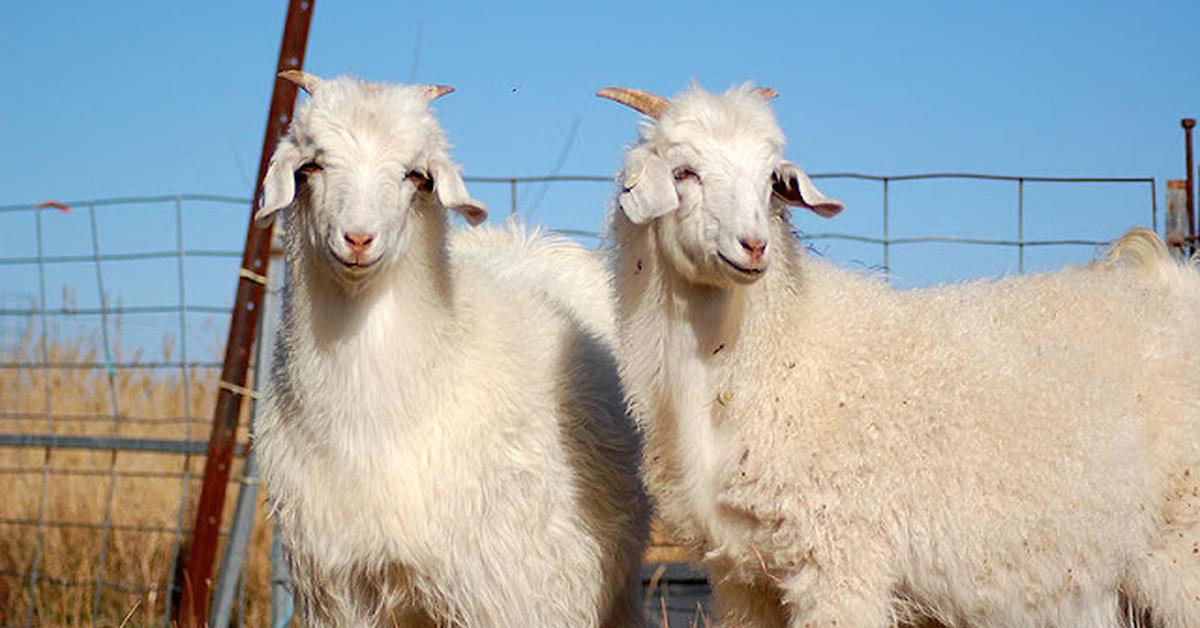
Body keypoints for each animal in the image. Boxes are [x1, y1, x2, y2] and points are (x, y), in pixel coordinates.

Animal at [253, 71, 648, 624]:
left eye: (415, 175)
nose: (358, 239)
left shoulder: (506, 585)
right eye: (312, 165)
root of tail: (525, 237)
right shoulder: (340, 587)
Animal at [604, 81, 1200, 624]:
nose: (753, 246)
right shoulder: (745, 579)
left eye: (772, 180)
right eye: (684, 172)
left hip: (1182, 546)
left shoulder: (840, 560)